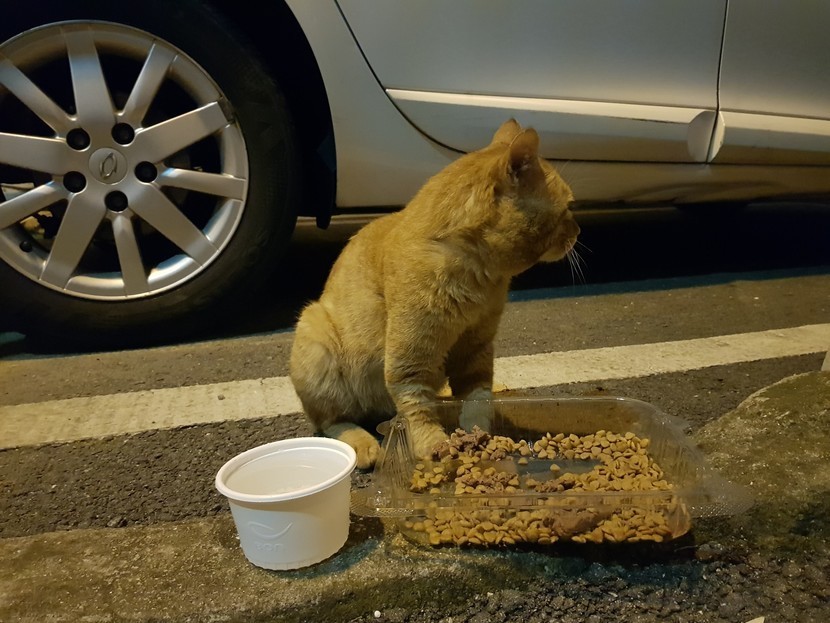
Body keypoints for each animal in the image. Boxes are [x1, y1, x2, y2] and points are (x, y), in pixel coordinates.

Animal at [289, 119, 579, 469]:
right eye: (569, 207)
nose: (579, 230)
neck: (481, 274)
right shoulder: (410, 359)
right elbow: (417, 406)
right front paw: (434, 446)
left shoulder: (476, 348)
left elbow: (477, 397)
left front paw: (480, 435)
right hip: (316, 336)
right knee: (332, 420)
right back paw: (364, 446)